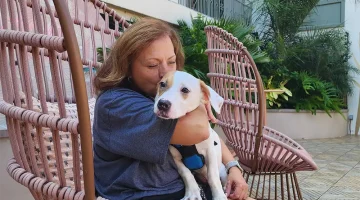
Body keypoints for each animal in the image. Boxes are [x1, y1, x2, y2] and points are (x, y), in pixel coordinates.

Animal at [153, 70, 226, 200]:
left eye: (185, 90)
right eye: (162, 84)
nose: (162, 104)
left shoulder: (210, 152)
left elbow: (213, 176)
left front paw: (219, 196)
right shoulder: (176, 158)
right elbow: (186, 173)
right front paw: (192, 193)